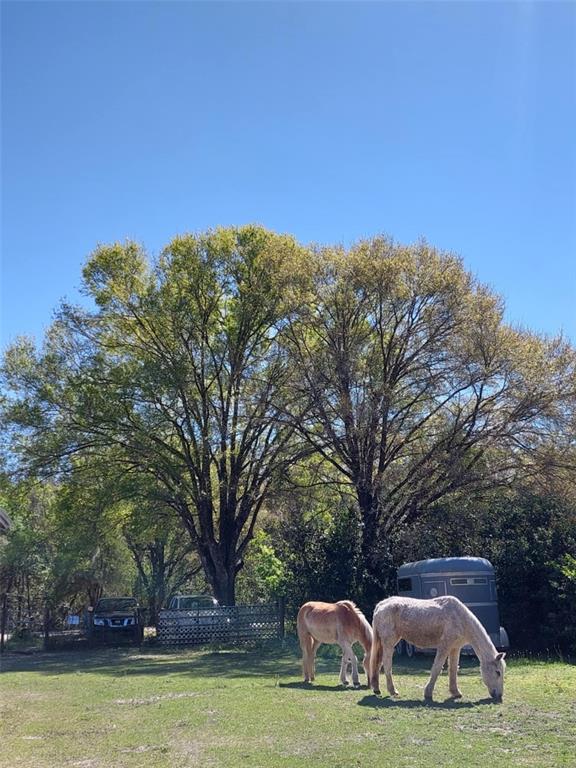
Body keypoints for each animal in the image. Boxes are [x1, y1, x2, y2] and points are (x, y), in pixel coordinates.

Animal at [371, 595, 506, 702]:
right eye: (498, 672)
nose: (499, 695)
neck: (460, 619)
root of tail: (380, 605)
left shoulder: (455, 648)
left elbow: (453, 670)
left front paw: (455, 692)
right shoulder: (444, 646)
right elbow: (436, 668)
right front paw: (428, 693)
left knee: (378, 663)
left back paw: (377, 689)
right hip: (389, 643)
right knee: (387, 664)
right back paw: (392, 691)